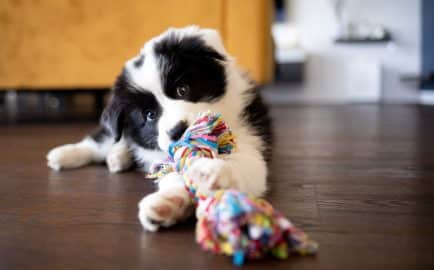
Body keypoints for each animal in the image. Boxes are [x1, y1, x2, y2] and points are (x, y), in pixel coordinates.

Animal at [46, 25, 272, 231]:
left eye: (183, 89)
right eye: (149, 115)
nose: (178, 132)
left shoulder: (250, 139)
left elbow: (245, 165)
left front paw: (209, 173)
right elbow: (172, 175)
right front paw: (169, 202)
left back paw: (118, 157)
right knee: (103, 141)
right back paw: (64, 155)